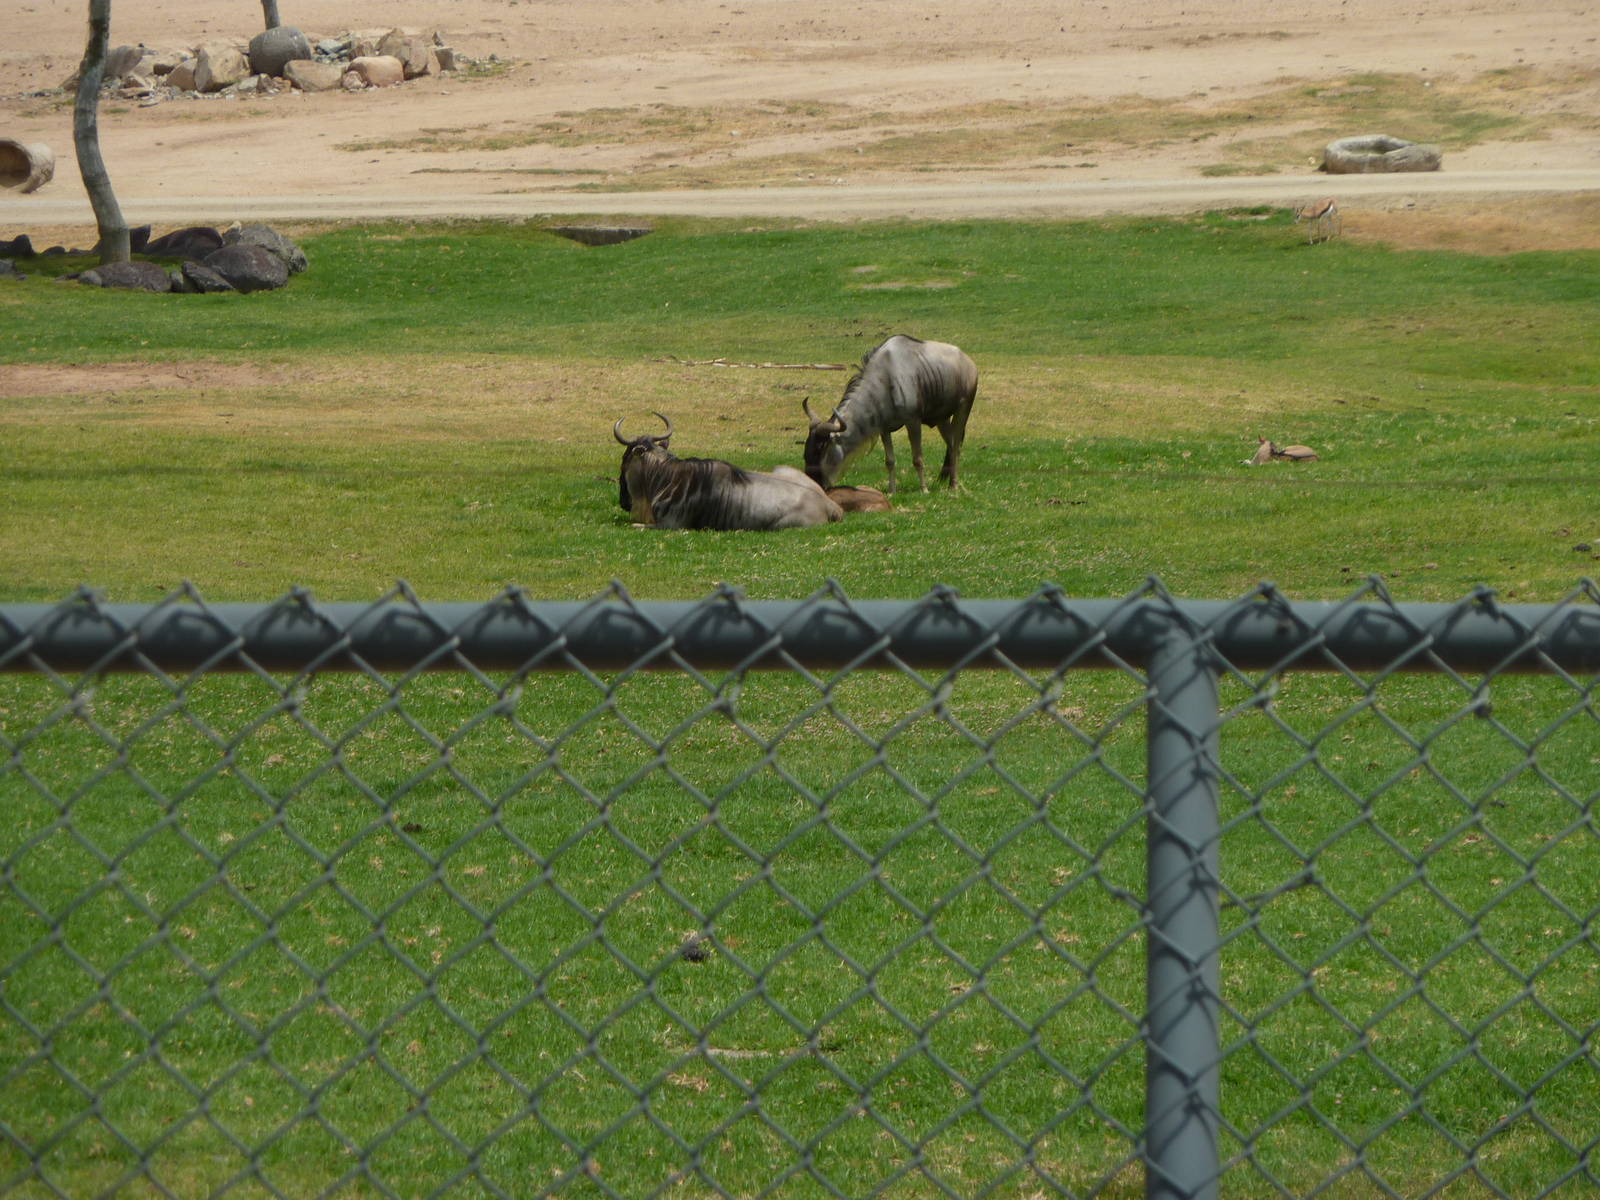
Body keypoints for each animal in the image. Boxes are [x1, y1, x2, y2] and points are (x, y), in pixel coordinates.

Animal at [803, 334, 978, 493]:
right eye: (806, 453)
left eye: (821, 449)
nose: (814, 483)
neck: (884, 379)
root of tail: (969, 363)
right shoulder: (884, 429)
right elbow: (890, 461)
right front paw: (891, 490)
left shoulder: (913, 421)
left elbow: (917, 458)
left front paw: (924, 490)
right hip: (942, 418)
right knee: (952, 443)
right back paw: (949, 483)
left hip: (963, 409)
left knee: (955, 446)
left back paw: (954, 486)